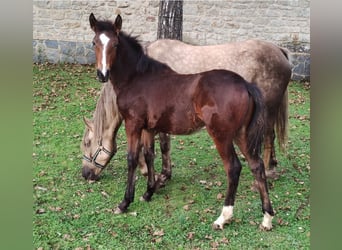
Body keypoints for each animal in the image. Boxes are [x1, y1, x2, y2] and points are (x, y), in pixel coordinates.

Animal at [83, 12, 276, 229]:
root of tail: (245, 84)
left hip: (222, 136)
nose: (102, 74)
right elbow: (149, 155)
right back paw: (267, 218)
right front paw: (149, 192)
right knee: (256, 166)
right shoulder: (149, 128)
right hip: (241, 134)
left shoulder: (133, 124)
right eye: (94, 42)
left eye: (115, 44)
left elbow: (132, 158)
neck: (137, 78)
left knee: (234, 168)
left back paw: (223, 217)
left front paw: (125, 203)